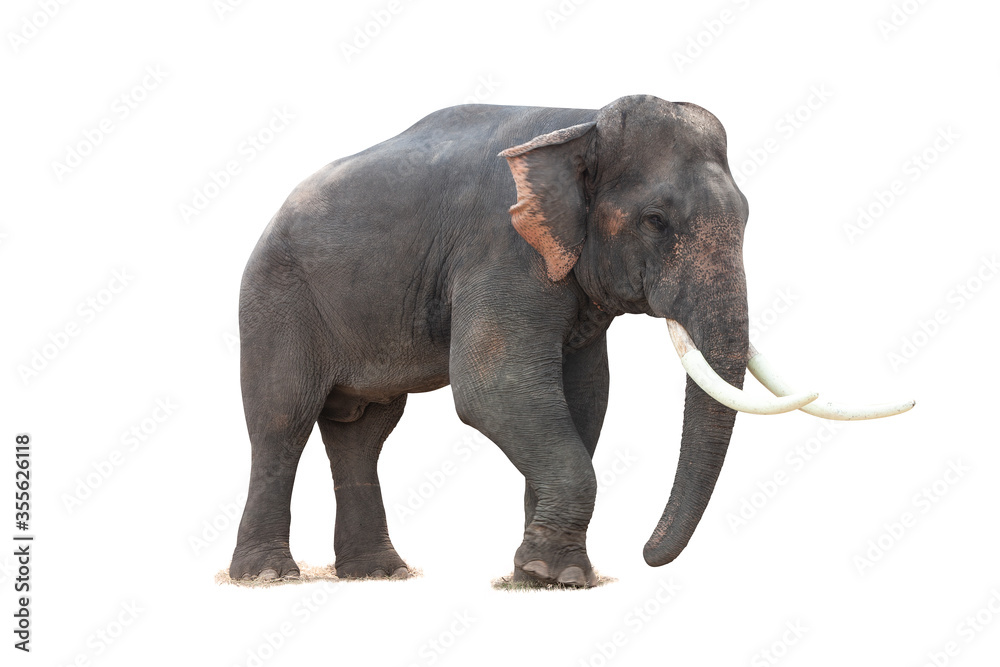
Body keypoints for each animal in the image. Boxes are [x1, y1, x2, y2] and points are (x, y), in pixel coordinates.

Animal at [229, 94, 913, 586]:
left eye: (747, 218)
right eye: (656, 221)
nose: (646, 554)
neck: (579, 126)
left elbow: (584, 396)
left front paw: (542, 577)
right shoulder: (501, 248)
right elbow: (495, 389)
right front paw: (550, 574)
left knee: (364, 431)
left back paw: (379, 574)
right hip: (275, 298)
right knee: (282, 418)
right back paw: (268, 577)